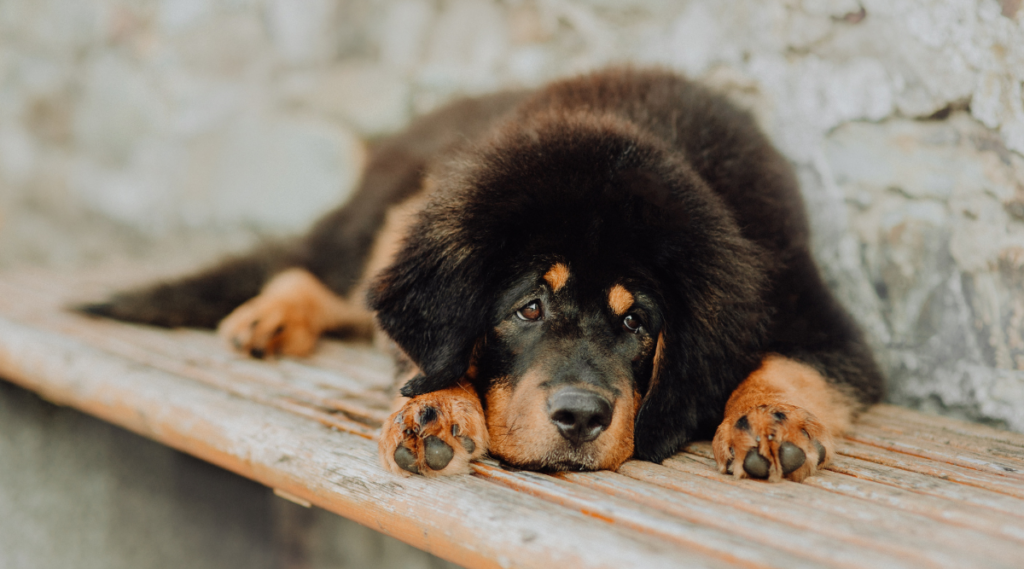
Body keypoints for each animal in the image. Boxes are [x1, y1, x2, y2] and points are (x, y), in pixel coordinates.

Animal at [79, 69, 884, 483]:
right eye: (528, 309)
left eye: (636, 322)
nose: (580, 418)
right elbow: (433, 357)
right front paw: (434, 409)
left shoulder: (813, 314)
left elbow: (787, 365)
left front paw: (771, 423)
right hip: (385, 212)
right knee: (319, 269)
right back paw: (269, 315)